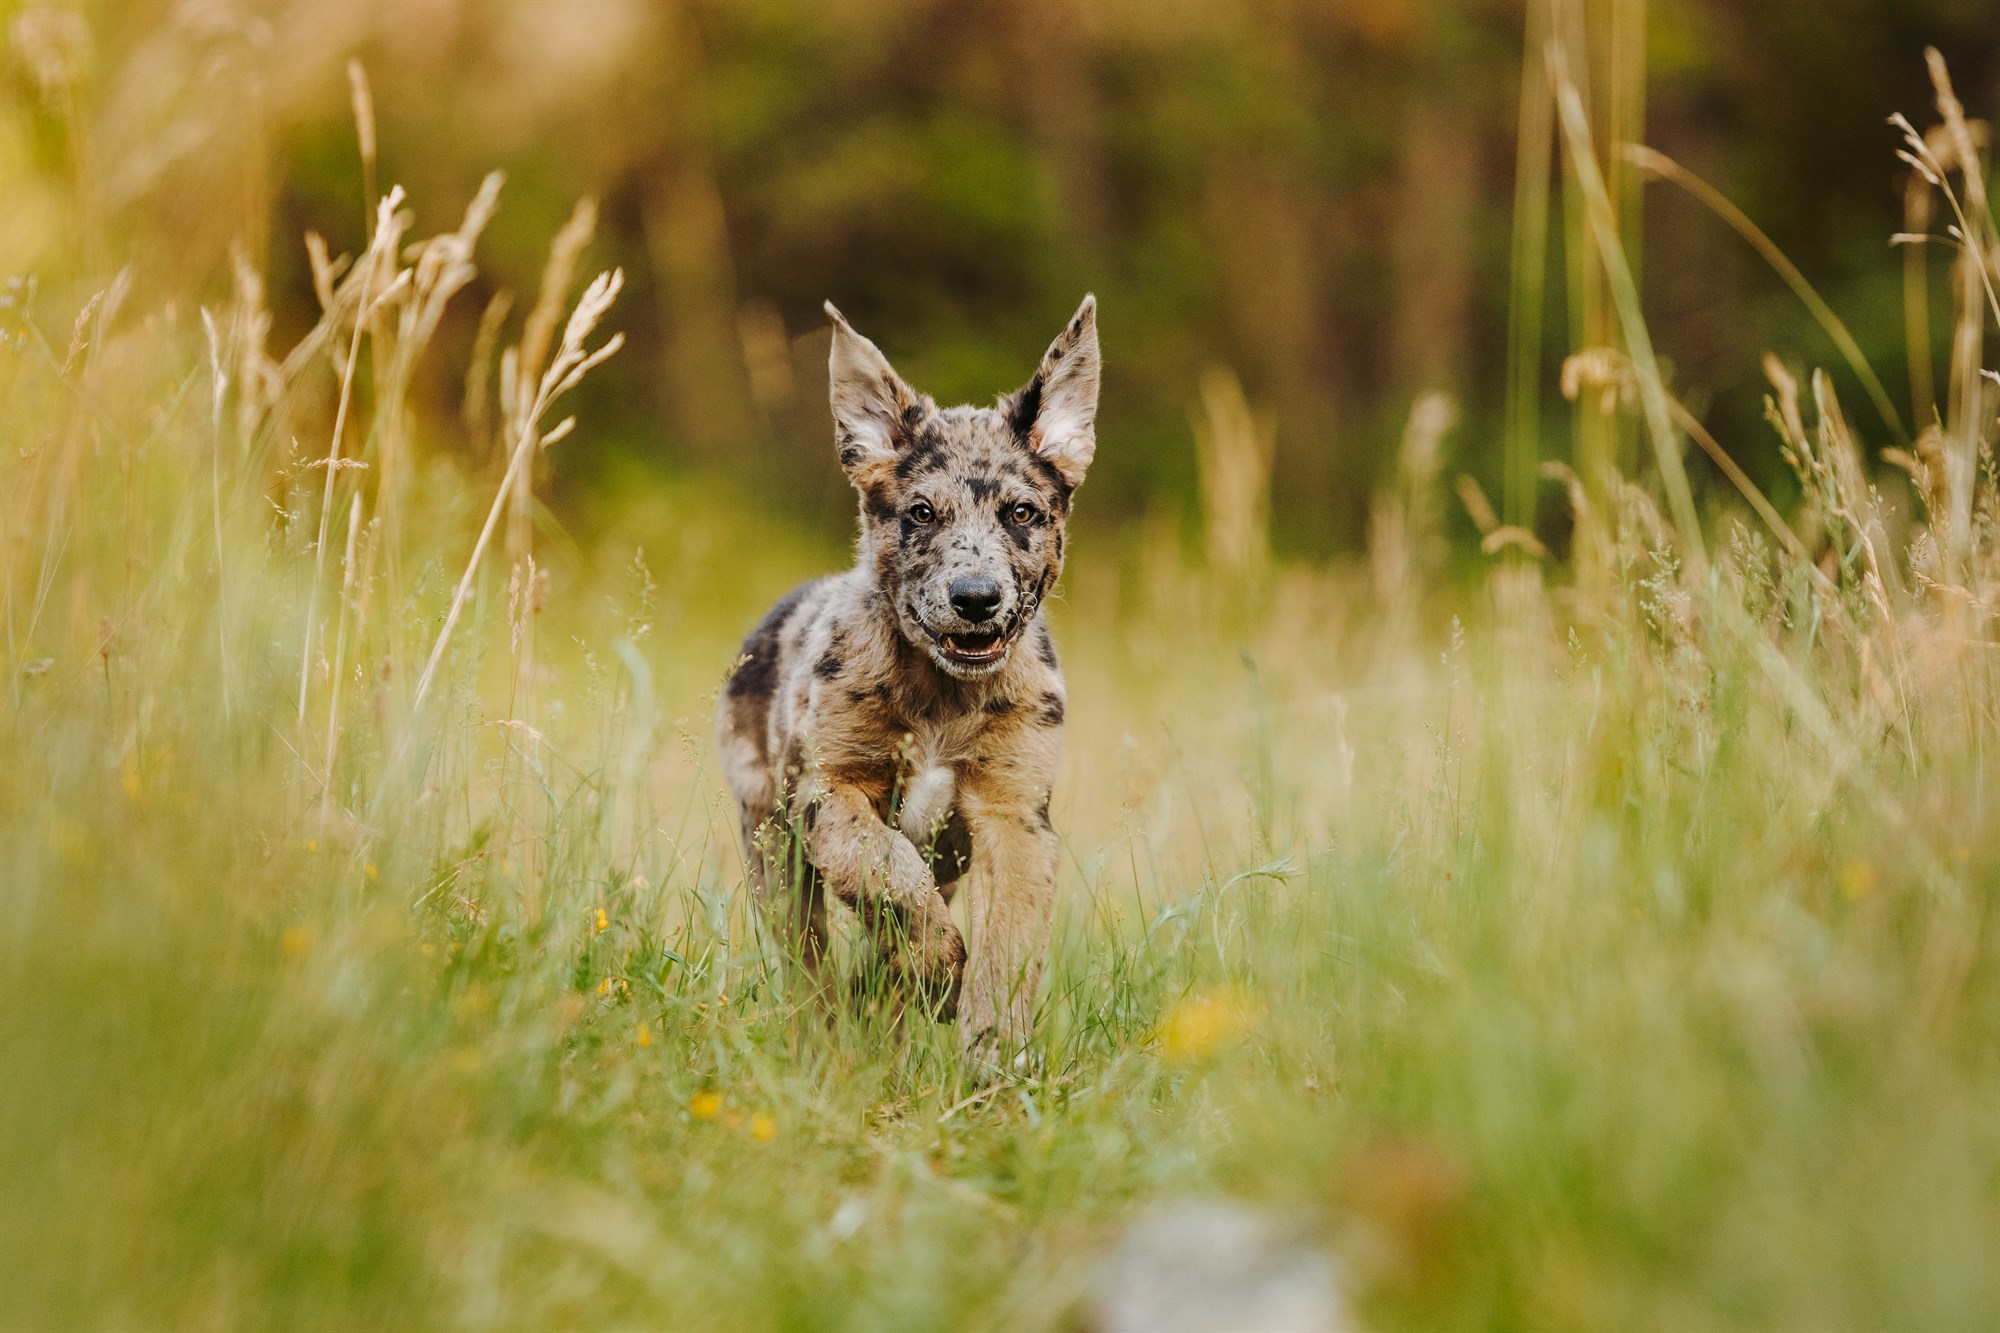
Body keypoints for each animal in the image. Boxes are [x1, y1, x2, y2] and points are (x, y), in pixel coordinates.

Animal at [712, 296, 1104, 1064]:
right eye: (921, 512)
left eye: (1022, 513)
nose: (976, 597)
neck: (941, 698)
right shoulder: (829, 788)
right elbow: (885, 870)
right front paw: (936, 969)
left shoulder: (1016, 815)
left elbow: (1007, 944)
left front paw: (991, 1048)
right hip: (771, 845)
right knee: (808, 965)